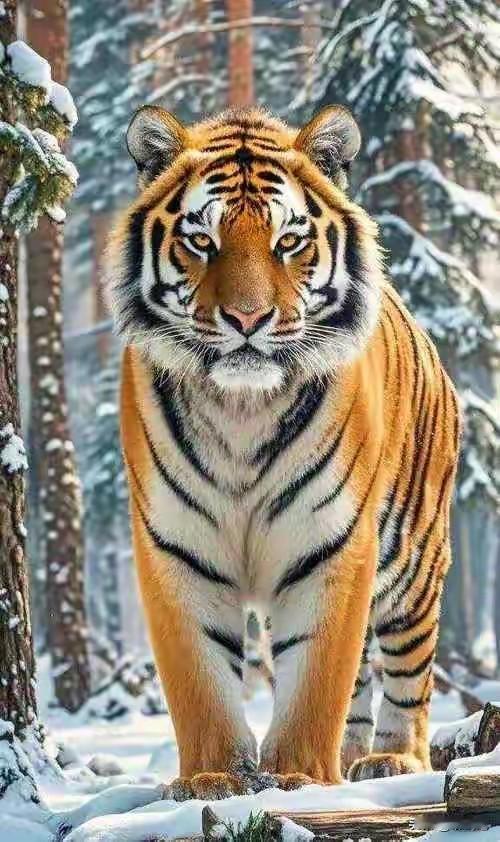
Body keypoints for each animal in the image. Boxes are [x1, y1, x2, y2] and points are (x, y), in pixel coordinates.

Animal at [105, 104, 460, 800]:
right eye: (202, 241)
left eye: (288, 242)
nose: (248, 320)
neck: (243, 409)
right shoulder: (176, 547)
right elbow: (200, 679)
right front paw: (213, 779)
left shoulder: (330, 543)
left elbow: (317, 676)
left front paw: (297, 778)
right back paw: (350, 761)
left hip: (414, 558)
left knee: (409, 669)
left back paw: (393, 761)